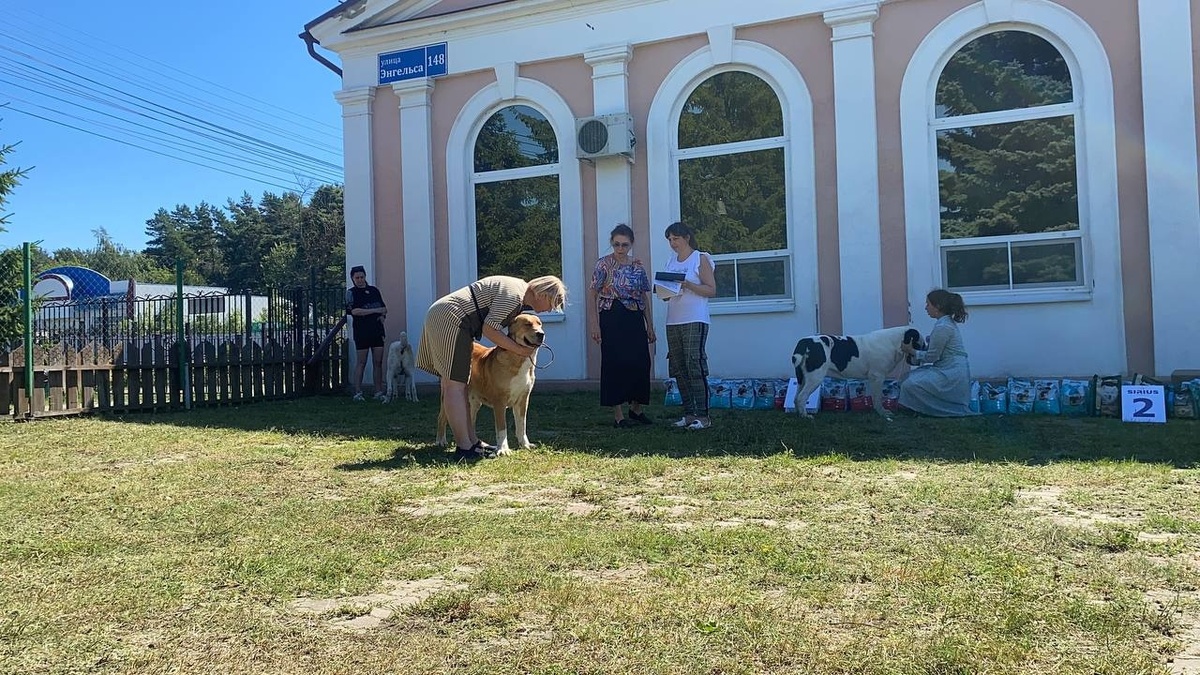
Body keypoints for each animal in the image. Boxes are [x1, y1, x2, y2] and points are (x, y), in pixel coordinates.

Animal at [792, 324, 921, 417]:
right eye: (920, 343)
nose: (919, 358)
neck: (893, 342)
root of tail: (805, 342)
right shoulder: (877, 377)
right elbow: (878, 397)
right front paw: (883, 413)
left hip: (802, 379)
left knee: (796, 397)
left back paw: (799, 414)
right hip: (815, 378)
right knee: (802, 397)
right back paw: (805, 416)